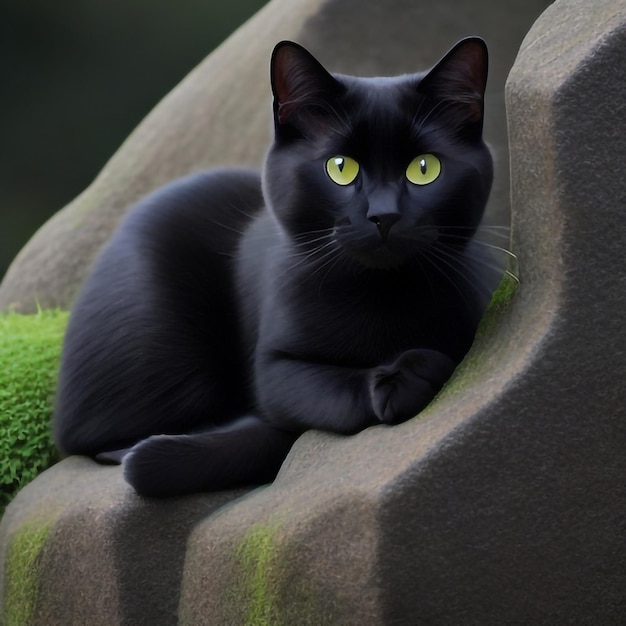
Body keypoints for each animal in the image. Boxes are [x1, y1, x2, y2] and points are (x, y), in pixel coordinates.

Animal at [54, 40, 502, 498]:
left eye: (424, 168)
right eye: (340, 167)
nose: (384, 215)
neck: (381, 296)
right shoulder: (275, 367)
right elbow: (329, 394)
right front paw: (398, 383)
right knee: (94, 438)